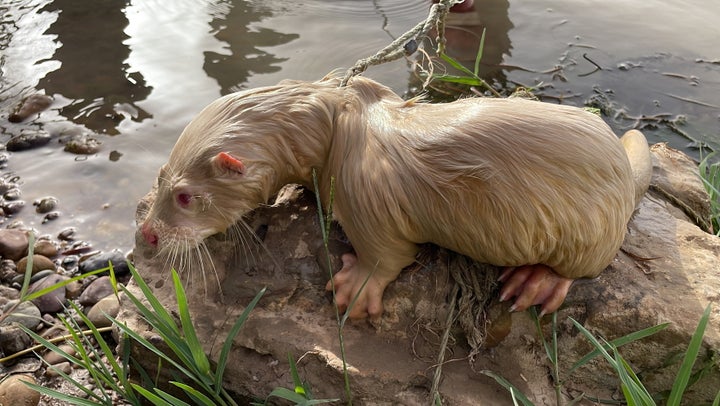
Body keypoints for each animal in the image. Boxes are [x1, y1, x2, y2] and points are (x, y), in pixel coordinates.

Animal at [139, 74, 652, 318]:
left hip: (591, 229)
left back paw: (535, 281)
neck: (338, 126)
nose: (146, 236)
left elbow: (388, 253)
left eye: (185, 197)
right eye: (160, 179)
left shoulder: (364, 194)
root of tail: (624, 174)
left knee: (582, 267)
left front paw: (356, 286)